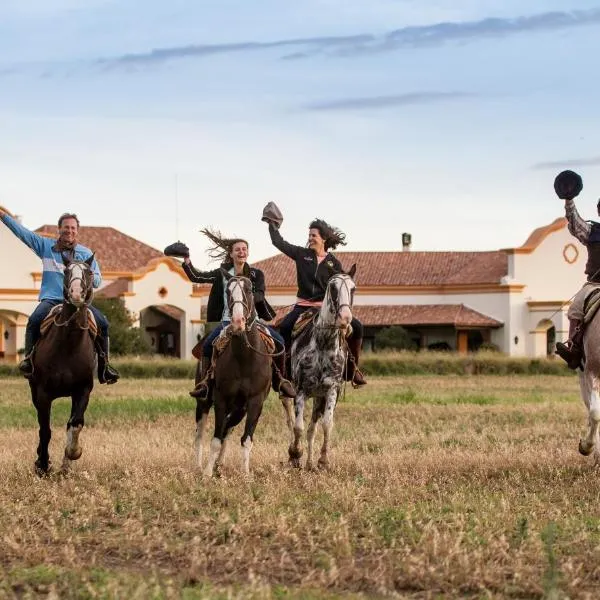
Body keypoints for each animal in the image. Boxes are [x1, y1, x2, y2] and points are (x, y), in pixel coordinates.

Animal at [29, 255, 96, 476]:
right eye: (66, 271)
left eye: (89, 272)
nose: (75, 293)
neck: (69, 344)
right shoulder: (43, 394)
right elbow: (45, 430)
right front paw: (42, 465)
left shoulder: (83, 390)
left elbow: (75, 424)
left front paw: (71, 456)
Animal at [196, 272, 274, 478]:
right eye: (228, 292)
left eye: (249, 290)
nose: (238, 322)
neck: (244, 358)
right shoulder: (221, 399)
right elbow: (215, 439)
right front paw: (207, 473)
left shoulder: (255, 402)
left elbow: (245, 439)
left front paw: (245, 474)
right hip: (203, 402)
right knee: (200, 433)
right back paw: (198, 465)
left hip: (239, 409)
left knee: (228, 429)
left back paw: (219, 464)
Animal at [282, 266, 356, 468]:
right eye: (333, 287)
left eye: (353, 289)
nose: (345, 319)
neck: (323, 345)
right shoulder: (300, 391)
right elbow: (298, 426)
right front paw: (295, 453)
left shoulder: (331, 391)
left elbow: (326, 425)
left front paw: (323, 460)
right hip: (288, 391)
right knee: (290, 419)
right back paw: (294, 456)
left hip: (318, 398)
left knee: (312, 428)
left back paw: (310, 463)